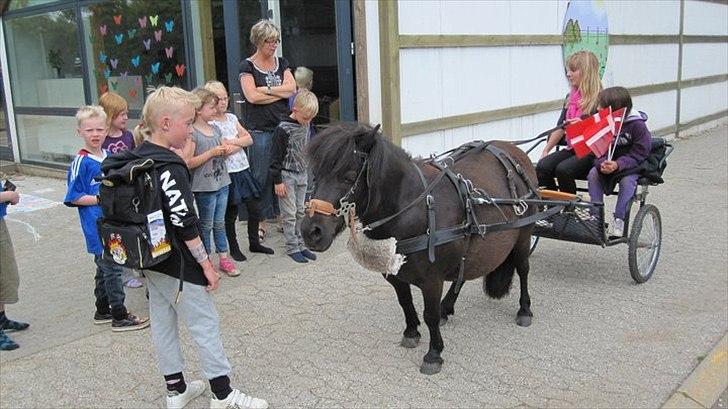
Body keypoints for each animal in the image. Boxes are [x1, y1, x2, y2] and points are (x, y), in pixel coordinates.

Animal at [302, 122, 540, 374]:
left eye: (348, 178)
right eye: (315, 175)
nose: (311, 231)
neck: (413, 209)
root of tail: (514, 152)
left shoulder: (432, 279)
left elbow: (430, 315)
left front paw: (434, 353)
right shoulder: (395, 273)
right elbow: (405, 302)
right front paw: (411, 332)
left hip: (523, 235)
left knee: (523, 269)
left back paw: (524, 310)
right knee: (463, 274)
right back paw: (448, 306)